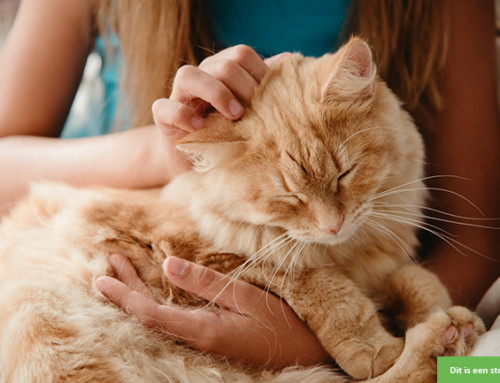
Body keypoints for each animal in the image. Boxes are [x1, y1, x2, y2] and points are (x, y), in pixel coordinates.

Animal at [0, 36, 484, 383]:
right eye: (290, 198)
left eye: (344, 175)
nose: (333, 226)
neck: (346, 252)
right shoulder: (205, 253)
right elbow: (324, 286)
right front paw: (374, 347)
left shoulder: (379, 266)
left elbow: (414, 278)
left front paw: (440, 310)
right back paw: (440, 342)